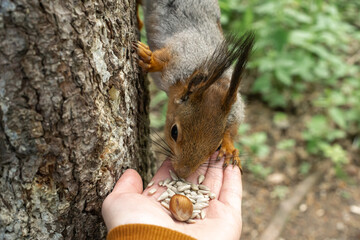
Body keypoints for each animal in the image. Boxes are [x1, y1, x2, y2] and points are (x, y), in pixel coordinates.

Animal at [134, 0, 255, 178]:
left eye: (217, 146)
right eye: (174, 132)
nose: (182, 173)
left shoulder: (235, 102)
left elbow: (235, 120)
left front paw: (229, 147)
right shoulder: (183, 50)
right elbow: (164, 58)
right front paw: (150, 59)